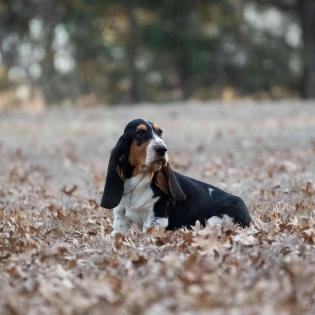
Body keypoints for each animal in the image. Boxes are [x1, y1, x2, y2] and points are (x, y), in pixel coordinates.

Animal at [100, 119, 252, 236]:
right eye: (140, 133)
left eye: (160, 132)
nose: (162, 149)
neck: (138, 184)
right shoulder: (121, 216)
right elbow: (117, 234)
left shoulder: (157, 219)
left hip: (214, 220)